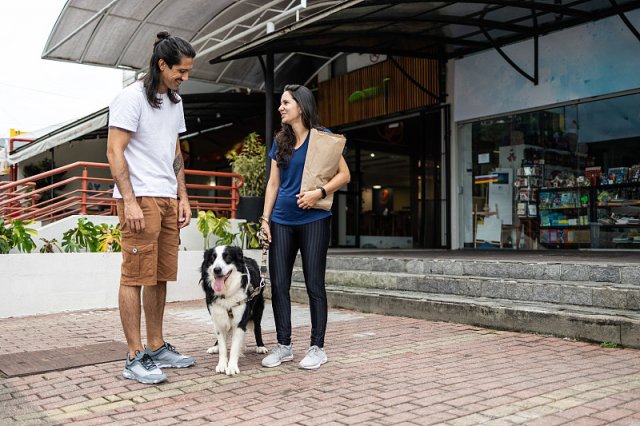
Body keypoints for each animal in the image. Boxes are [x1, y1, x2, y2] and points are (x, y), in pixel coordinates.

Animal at [201, 245, 268, 374]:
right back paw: (215, 347)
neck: (226, 293)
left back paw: (260, 346)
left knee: (257, 327)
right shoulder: (218, 317)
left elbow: (234, 346)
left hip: (258, 307)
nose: (217, 270)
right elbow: (223, 346)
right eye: (212, 258)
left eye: (227, 257)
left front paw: (232, 367)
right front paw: (222, 365)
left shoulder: (240, 321)